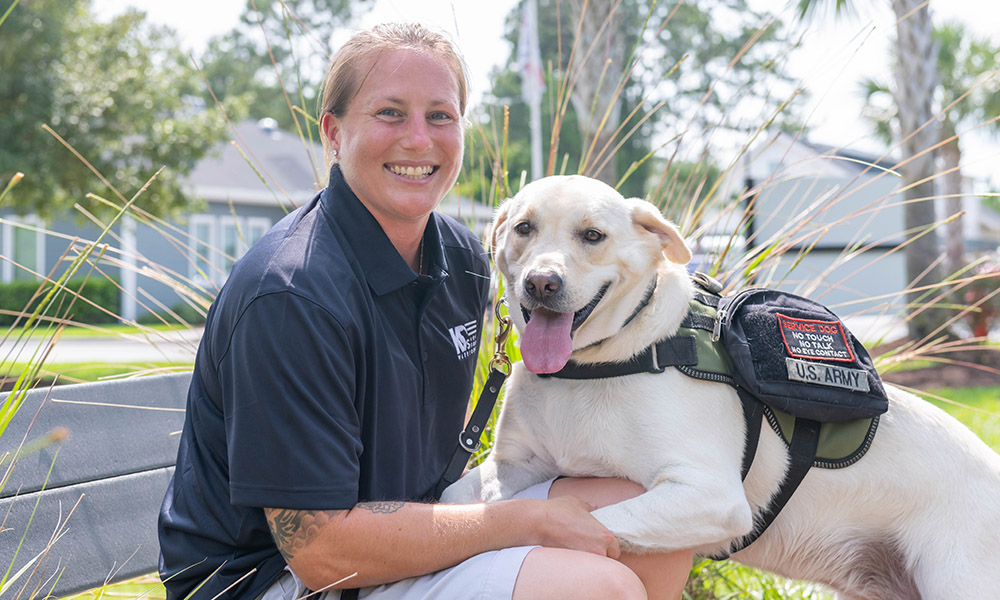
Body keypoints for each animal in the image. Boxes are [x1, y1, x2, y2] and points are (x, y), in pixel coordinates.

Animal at [444, 175, 1000, 600]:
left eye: (593, 235)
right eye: (524, 228)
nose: (541, 283)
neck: (599, 361)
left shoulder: (710, 495)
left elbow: (583, 523)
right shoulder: (514, 466)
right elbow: (455, 497)